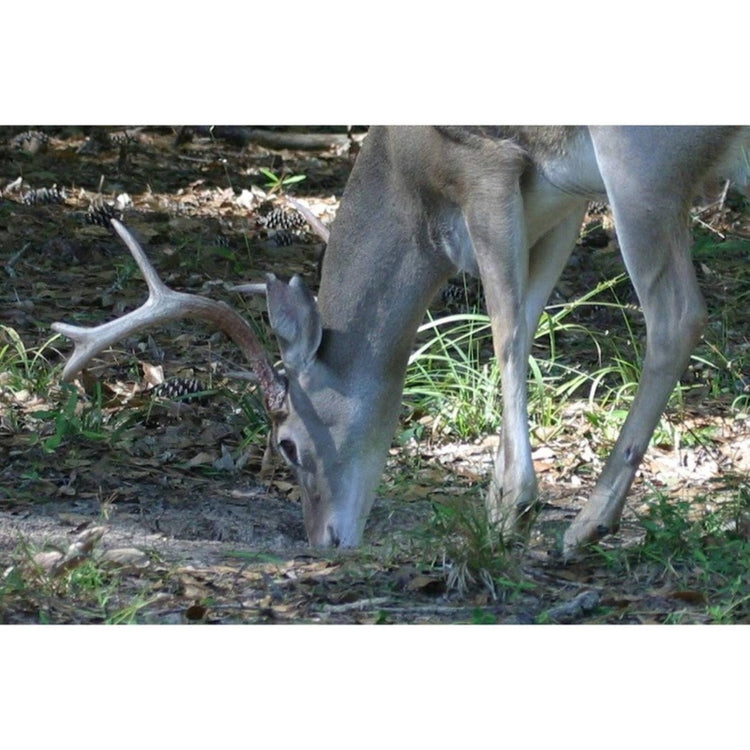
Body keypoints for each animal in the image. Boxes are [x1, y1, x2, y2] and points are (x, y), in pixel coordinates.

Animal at [52, 126, 750, 558]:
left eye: (287, 444)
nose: (323, 540)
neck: (409, 185)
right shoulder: (561, 203)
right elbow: (526, 322)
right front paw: (496, 498)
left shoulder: (486, 164)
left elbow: (506, 332)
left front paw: (510, 508)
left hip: (641, 162)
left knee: (676, 317)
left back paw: (588, 525)